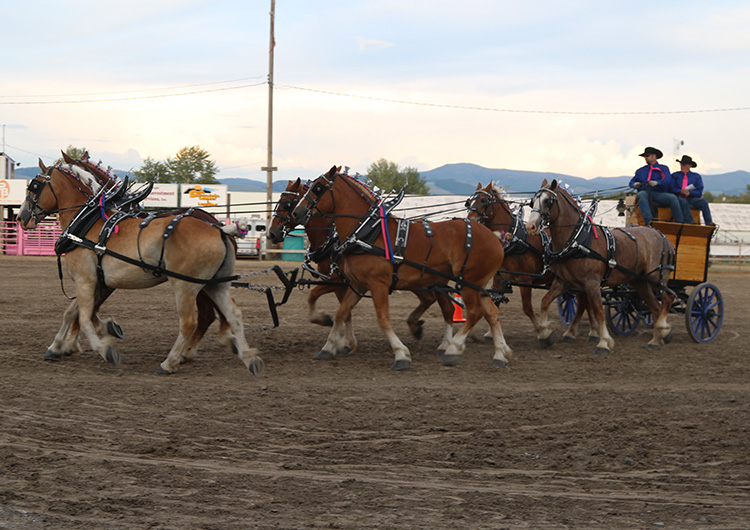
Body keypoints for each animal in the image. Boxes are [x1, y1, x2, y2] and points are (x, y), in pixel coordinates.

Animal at [17, 155, 263, 376]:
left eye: (34, 185)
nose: (21, 217)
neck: (87, 223)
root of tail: (220, 229)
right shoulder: (94, 280)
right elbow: (72, 312)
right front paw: (57, 347)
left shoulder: (86, 280)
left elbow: (84, 317)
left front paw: (103, 348)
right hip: (214, 284)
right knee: (233, 314)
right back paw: (247, 357)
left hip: (186, 286)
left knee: (191, 322)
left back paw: (171, 362)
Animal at [267, 178, 456, 357]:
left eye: (288, 204)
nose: (272, 233)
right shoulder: (347, 284)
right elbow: (344, 311)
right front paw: (344, 342)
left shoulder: (338, 280)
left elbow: (316, 297)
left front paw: (331, 329)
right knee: (429, 299)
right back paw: (416, 326)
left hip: (434, 280)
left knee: (447, 307)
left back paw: (444, 344)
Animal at [290, 166, 512, 370]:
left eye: (317, 188)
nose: (296, 212)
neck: (367, 232)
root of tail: (494, 236)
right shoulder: (358, 284)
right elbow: (341, 313)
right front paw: (328, 347)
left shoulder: (377, 284)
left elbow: (382, 319)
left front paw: (401, 354)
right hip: (478, 284)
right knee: (491, 313)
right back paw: (500, 354)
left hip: (468, 282)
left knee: (474, 312)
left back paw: (453, 349)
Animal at [466, 181, 597, 344]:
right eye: (470, 201)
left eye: (484, 200)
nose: (471, 220)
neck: (513, 237)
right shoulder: (500, 279)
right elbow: (494, 304)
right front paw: (490, 333)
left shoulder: (525, 279)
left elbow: (527, 308)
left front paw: (544, 333)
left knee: (584, 301)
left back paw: (587, 331)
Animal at [526, 179, 676, 354]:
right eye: (532, 201)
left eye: (548, 201)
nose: (530, 226)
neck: (578, 240)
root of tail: (663, 236)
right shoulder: (564, 281)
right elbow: (545, 301)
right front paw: (545, 333)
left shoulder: (591, 283)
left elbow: (598, 310)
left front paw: (603, 342)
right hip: (640, 282)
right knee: (656, 308)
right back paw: (655, 340)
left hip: (656, 278)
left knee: (668, 298)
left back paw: (662, 328)